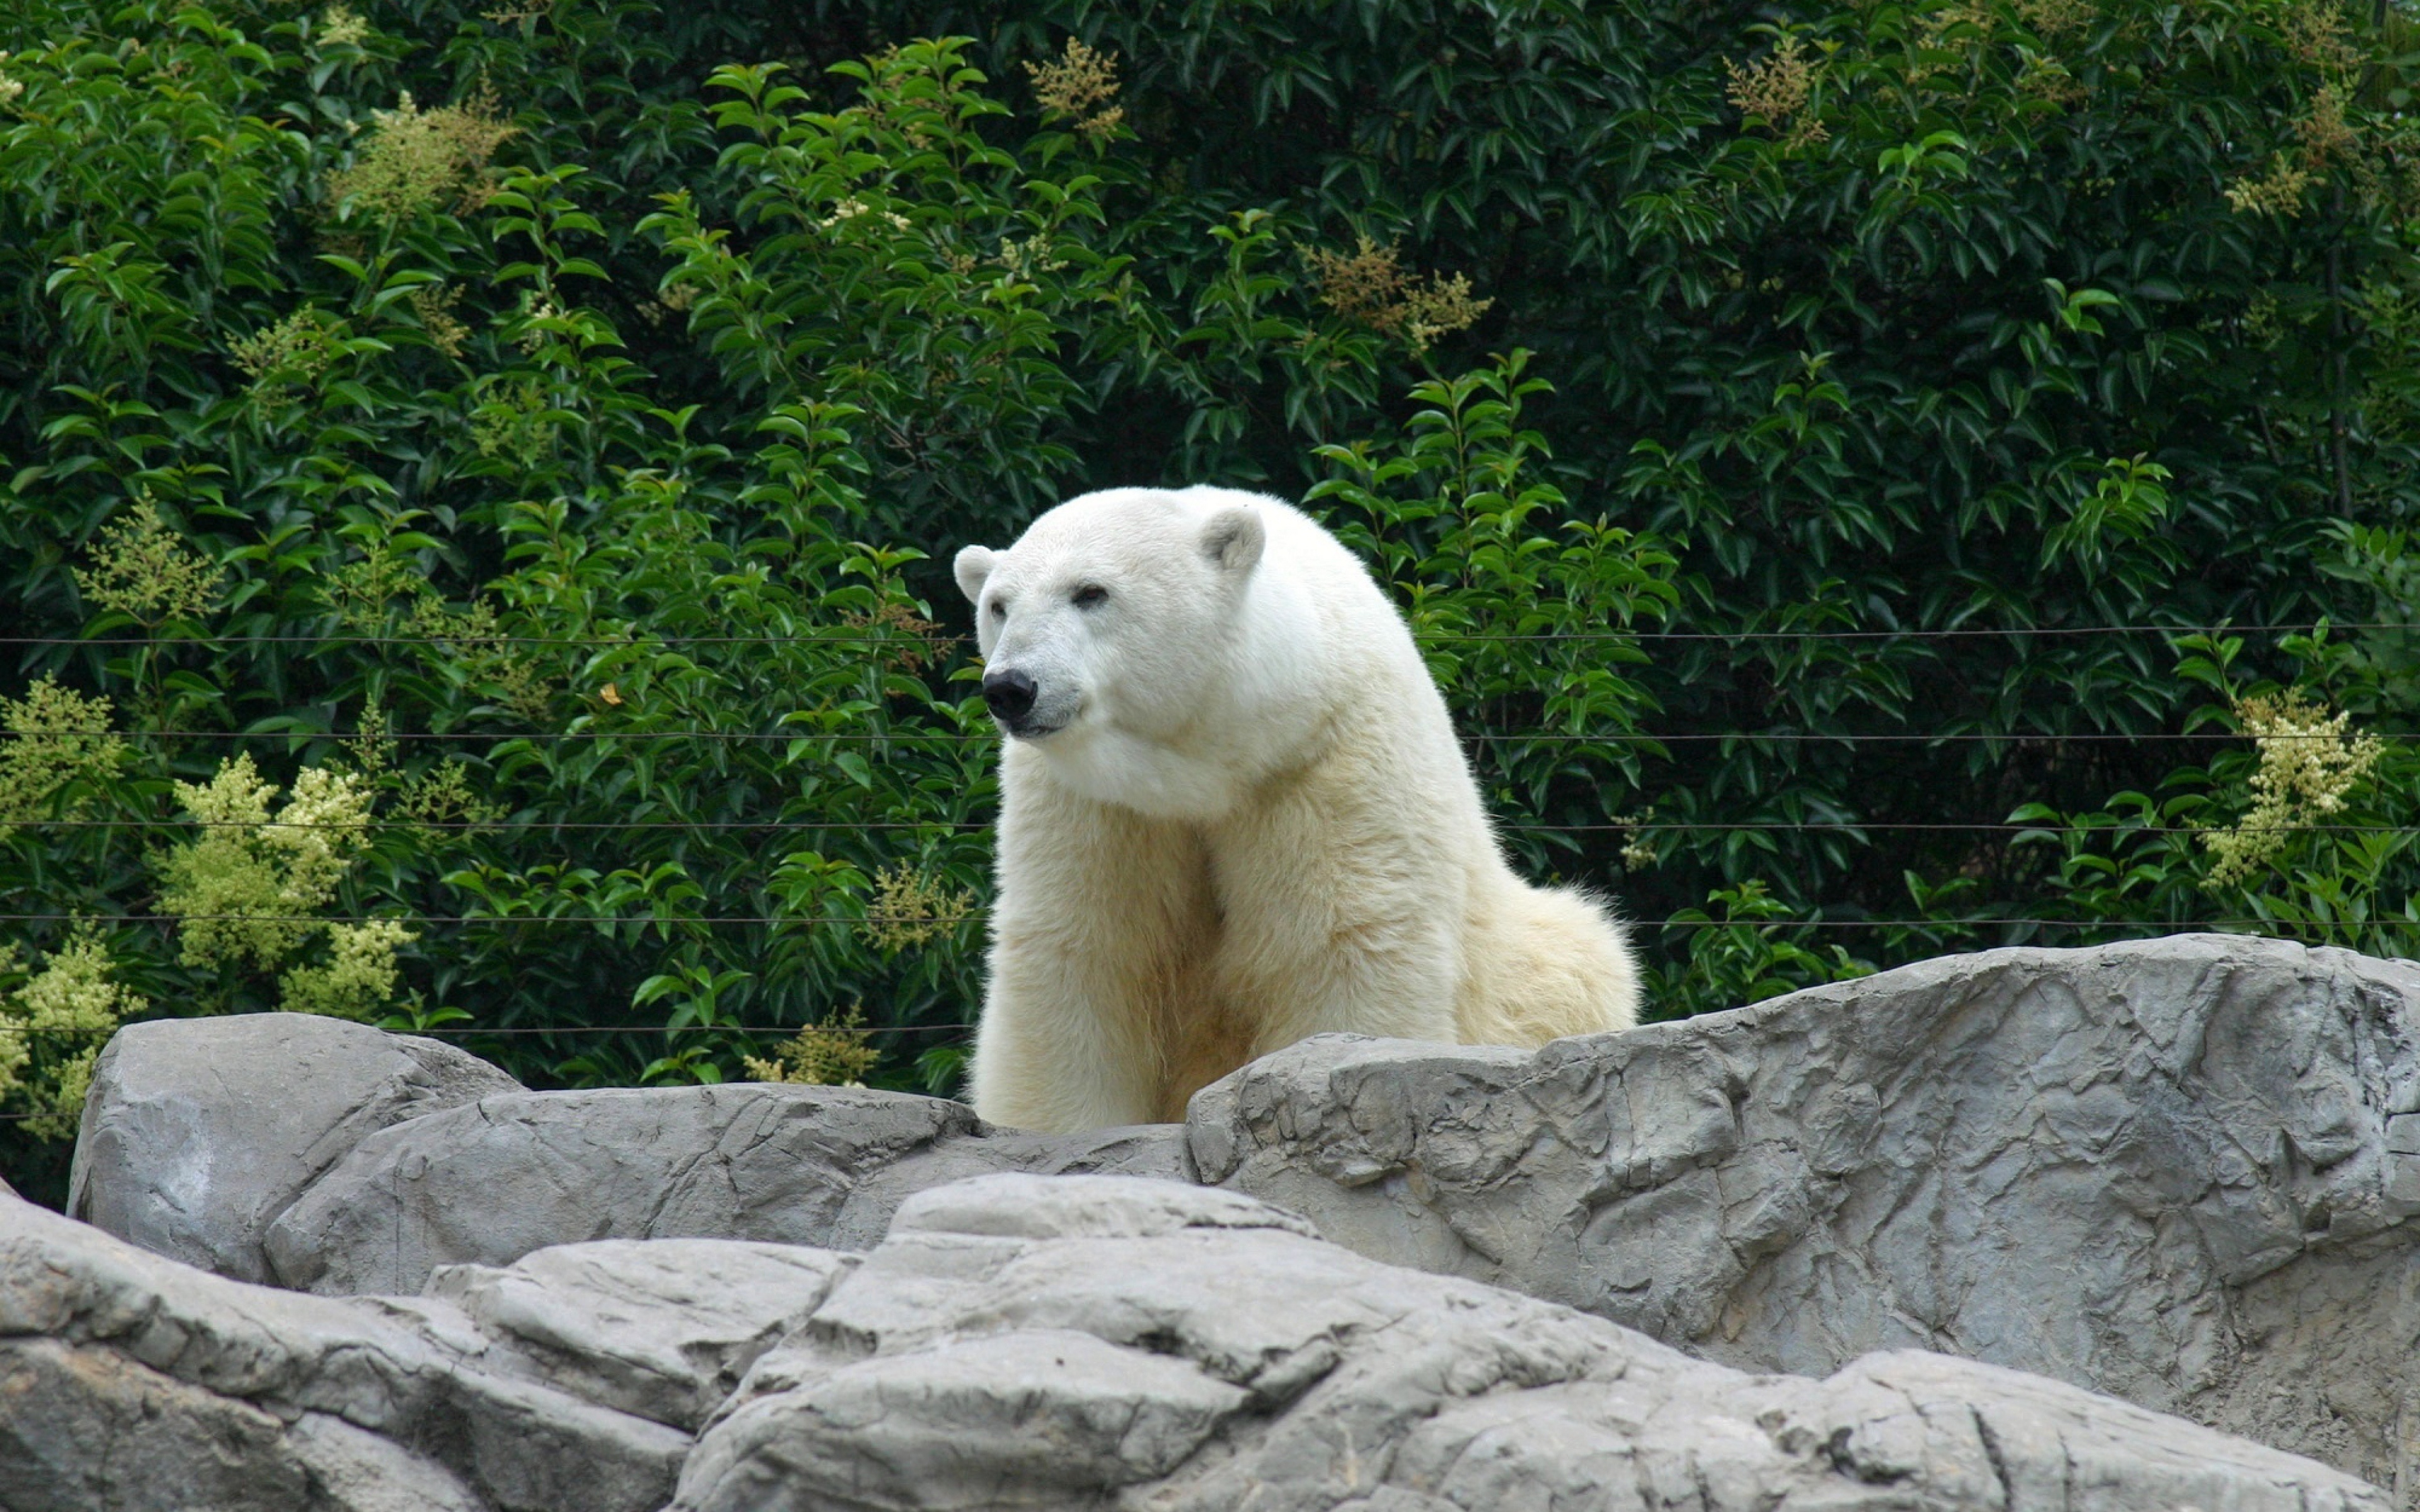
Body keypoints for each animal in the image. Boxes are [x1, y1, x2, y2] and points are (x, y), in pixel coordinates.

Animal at [953, 488, 1635, 1127]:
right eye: (999, 605)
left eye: (1091, 592)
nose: (1011, 688)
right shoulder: (1094, 802)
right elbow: (1086, 952)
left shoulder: (1327, 760)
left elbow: (1341, 942)